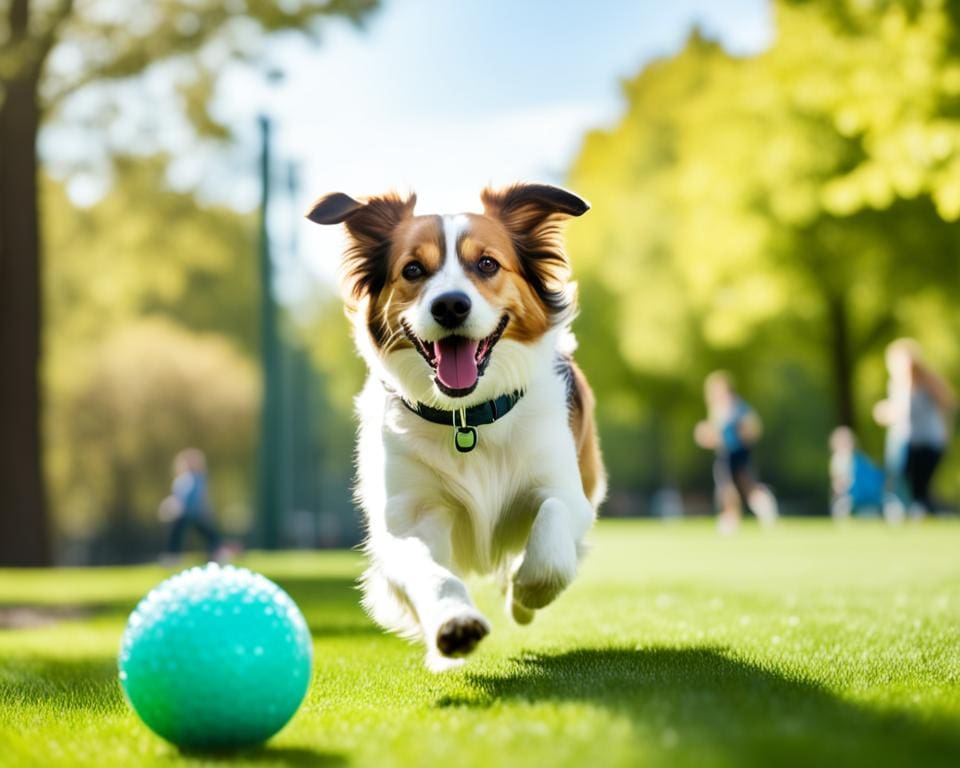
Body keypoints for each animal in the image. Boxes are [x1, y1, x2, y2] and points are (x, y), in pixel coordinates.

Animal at [308, 183, 608, 668]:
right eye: (412, 269)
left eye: (487, 263)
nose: (450, 305)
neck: (466, 417)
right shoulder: (407, 518)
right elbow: (430, 572)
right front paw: (453, 625)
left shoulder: (566, 491)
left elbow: (550, 540)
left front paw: (526, 594)